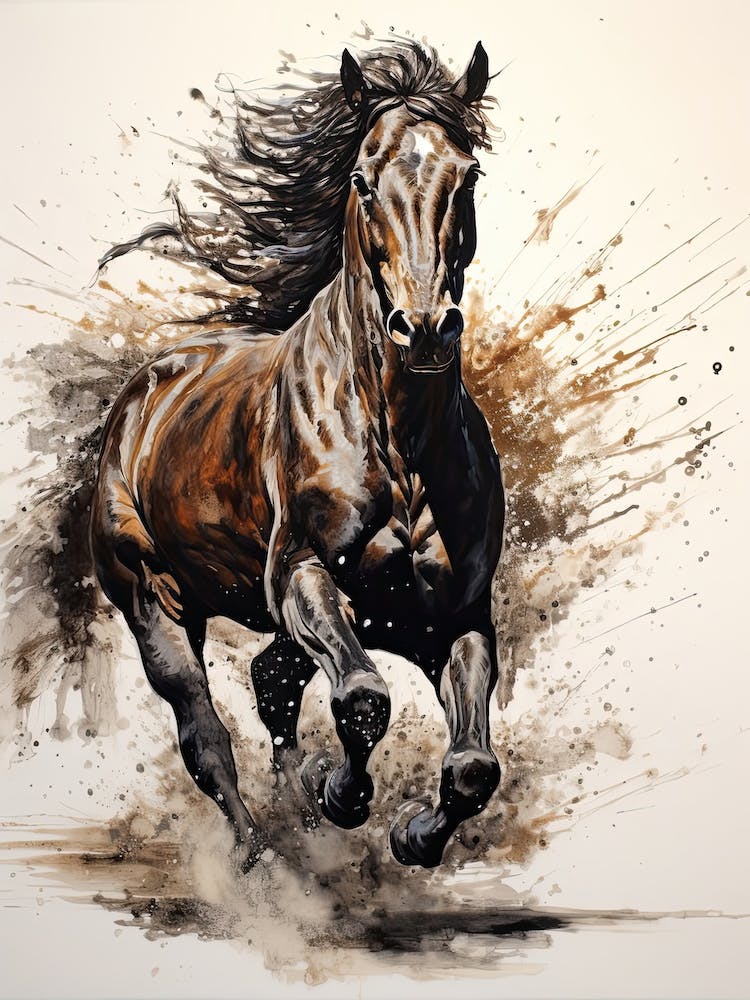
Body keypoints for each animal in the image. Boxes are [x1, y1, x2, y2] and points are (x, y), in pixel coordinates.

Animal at [90, 39, 505, 870]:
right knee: (207, 738)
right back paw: (261, 858)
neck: (400, 443)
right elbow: (363, 697)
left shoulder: (454, 616)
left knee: (270, 678)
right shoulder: (300, 574)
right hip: (153, 603)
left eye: (468, 175)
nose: (424, 328)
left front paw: (411, 835)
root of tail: (140, 396)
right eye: (362, 181)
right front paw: (340, 792)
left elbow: (474, 765)